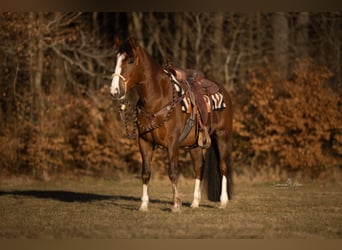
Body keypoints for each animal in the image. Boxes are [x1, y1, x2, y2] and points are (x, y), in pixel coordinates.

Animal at [109, 37, 232, 212]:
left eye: (131, 60)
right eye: (116, 60)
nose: (114, 91)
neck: (159, 100)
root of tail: (223, 91)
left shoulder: (172, 143)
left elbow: (173, 172)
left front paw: (176, 204)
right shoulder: (144, 142)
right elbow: (145, 172)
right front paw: (144, 205)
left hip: (222, 137)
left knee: (222, 167)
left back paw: (223, 201)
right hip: (195, 145)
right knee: (199, 169)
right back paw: (195, 203)